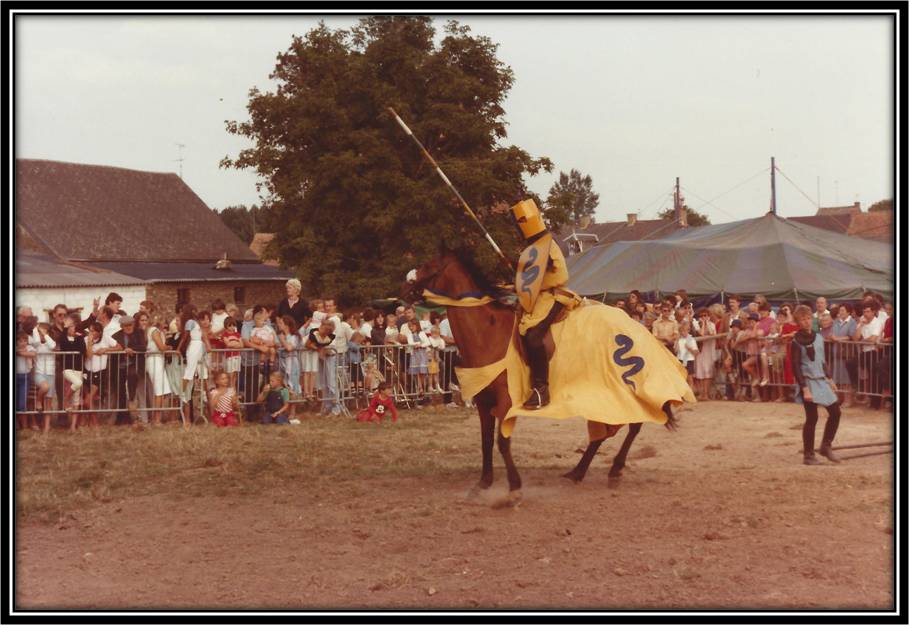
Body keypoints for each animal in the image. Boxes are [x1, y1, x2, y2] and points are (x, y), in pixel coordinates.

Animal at [404, 249, 672, 502]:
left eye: (429, 265)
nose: (406, 285)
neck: (487, 334)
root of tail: (640, 328)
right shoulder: (483, 402)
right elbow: (486, 442)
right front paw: (483, 484)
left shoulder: (506, 402)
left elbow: (502, 442)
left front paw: (514, 488)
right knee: (604, 432)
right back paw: (577, 472)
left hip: (624, 389)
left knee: (634, 424)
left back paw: (614, 470)